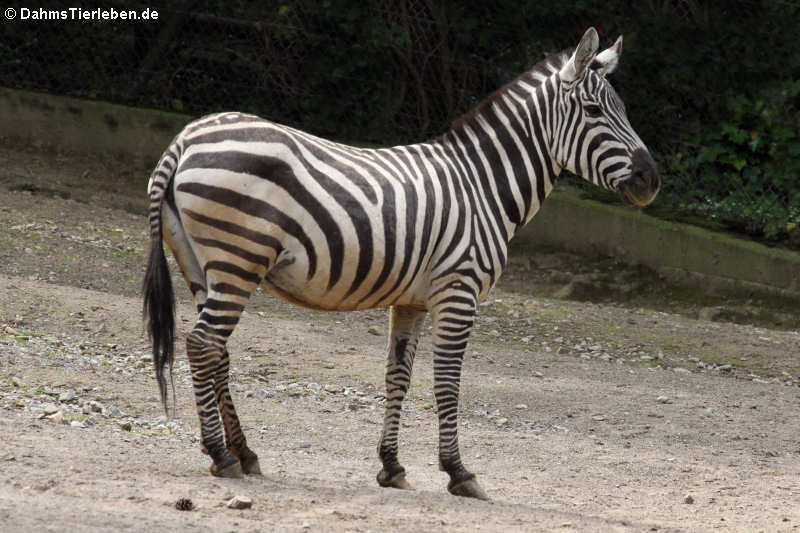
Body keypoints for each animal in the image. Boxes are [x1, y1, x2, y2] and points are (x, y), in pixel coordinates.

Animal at [142, 27, 656, 500]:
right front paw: (458, 472)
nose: (652, 181)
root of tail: (185, 138)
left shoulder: (411, 302)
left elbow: (398, 378)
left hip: (202, 265)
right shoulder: (458, 292)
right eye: (594, 112)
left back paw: (244, 452)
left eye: (624, 110)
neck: (482, 186)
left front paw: (391, 466)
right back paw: (222, 455)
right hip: (239, 258)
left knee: (217, 350)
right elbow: (447, 383)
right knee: (203, 344)